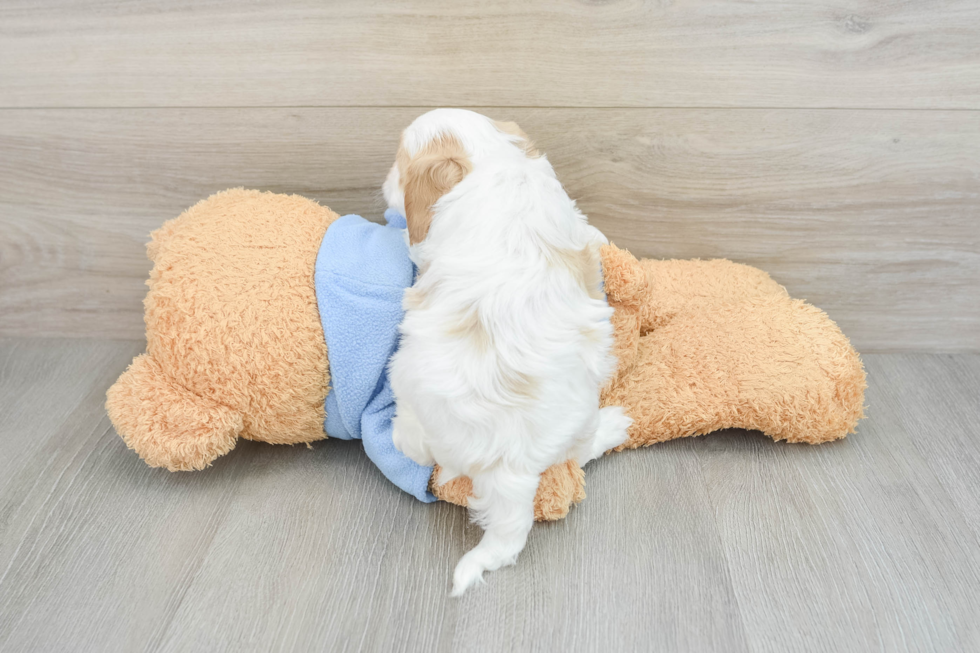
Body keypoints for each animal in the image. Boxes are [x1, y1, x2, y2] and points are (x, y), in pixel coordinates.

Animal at [382, 109, 628, 592]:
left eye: (399, 165)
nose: (384, 179)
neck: (492, 161)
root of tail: (507, 465)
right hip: (579, 414)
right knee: (577, 453)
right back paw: (614, 427)